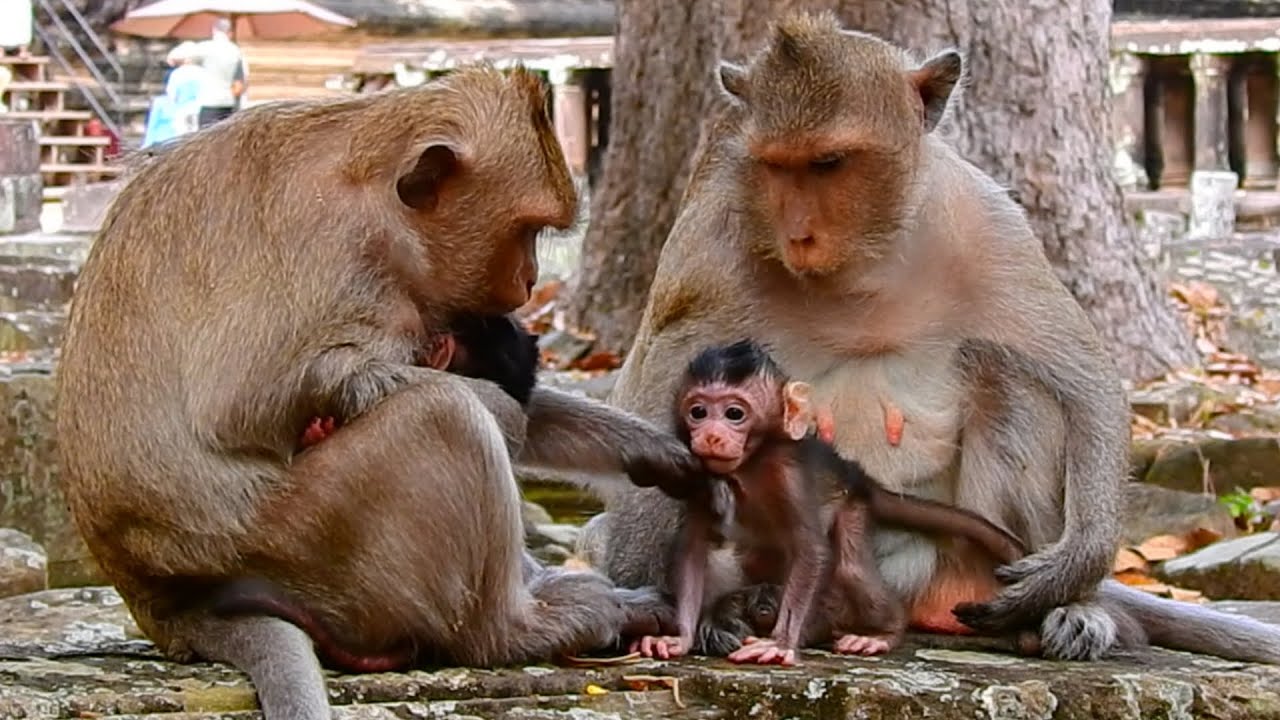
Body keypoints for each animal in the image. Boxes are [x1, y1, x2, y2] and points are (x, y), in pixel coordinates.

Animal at [56, 65, 705, 720]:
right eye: (527, 233)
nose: (530, 279)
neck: (376, 200)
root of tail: (164, 606)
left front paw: (656, 451)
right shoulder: (334, 253)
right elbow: (240, 404)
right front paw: (500, 408)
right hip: (300, 544)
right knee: (445, 415)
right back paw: (515, 630)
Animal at [633, 340, 1031, 665]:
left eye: (734, 413)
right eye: (698, 412)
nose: (711, 436)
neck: (749, 466)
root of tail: (856, 474)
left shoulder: (787, 475)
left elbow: (812, 550)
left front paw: (780, 644)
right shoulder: (701, 477)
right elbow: (693, 548)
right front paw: (680, 638)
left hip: (852, 506)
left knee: (850, 568)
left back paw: (883, 633)